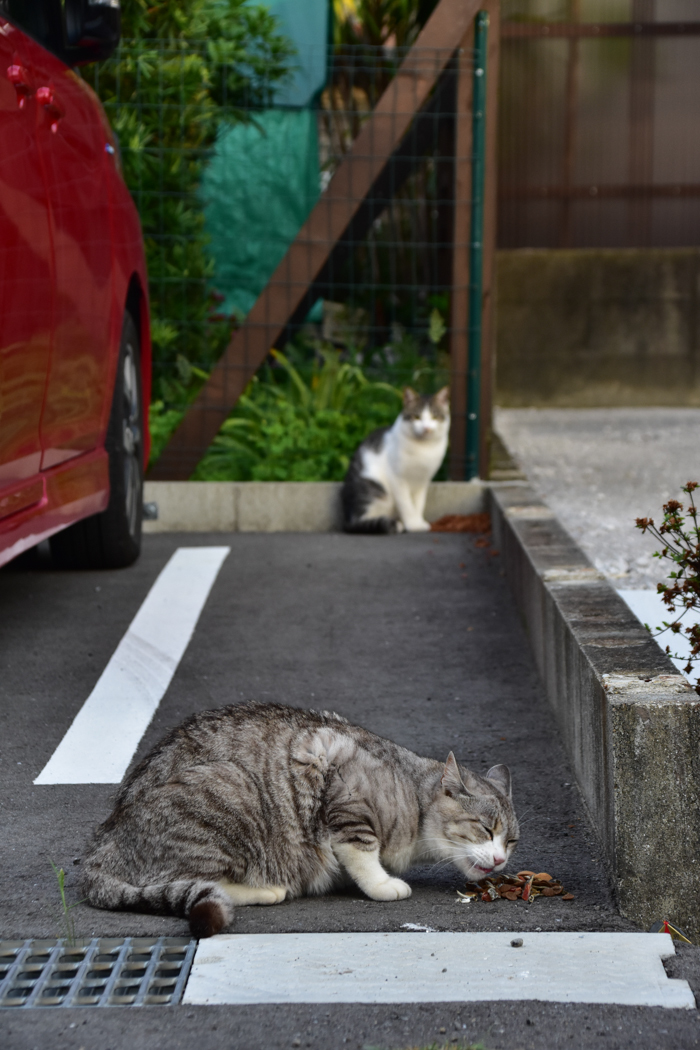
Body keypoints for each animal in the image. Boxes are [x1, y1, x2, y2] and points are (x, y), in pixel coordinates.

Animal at [83, 701, 520, 940]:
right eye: (486, 829)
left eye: (511, 841)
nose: (501, 859)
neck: (412, 793)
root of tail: (101, 844)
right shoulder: (346, 799)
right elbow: (362, 851)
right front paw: (383, 884)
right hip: (230, 788)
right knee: (195, 880)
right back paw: (265, 889)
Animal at [344, 386, 451, 533]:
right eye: (416, 417)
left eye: (435, 417)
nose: (426, 428)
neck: (424, 449)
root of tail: (348, 517)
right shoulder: (397, 478)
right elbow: (406, 504)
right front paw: (412, 524)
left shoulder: (423, 481)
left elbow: (419, 504)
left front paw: (418, 522)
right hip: (375, 491)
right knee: (362, 520)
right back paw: (393, 524)